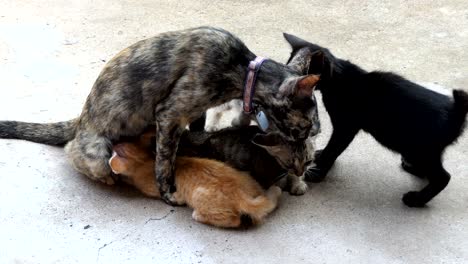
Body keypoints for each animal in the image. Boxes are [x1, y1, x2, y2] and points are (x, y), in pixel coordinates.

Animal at [0, 26, 320, 204]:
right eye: (306, 128)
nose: (313, 137)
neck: (242, 70)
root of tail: (80, 120)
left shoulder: (195, 113)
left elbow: (196, 136)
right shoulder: (169, 115)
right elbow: (165, 160)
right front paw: (167, 191)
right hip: (97, 154)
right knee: (79, 156)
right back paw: (110, 178)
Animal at [282, 33, 468, 207]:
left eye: (301, 74)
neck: (339, 80)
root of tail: (456, 112)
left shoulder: (345, 127)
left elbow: (333, 148)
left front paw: (319, 170)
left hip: (421, 149)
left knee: (443, 177)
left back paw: (416, 199)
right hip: (418, 149)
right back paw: (412, 168)